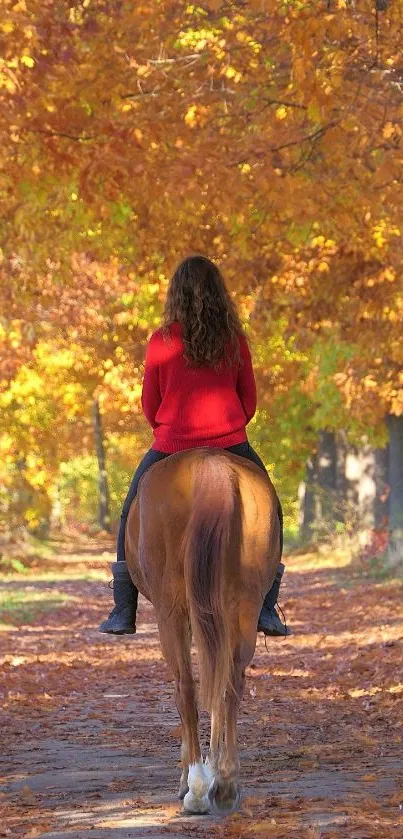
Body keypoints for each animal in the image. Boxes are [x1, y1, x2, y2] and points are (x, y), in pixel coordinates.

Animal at [125, 450, 280, 816]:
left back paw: (195, 786)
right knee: (230, 684)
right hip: (244, 602)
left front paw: (192, 778)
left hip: (171, 610)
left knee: (186, 687)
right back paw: (224, 784)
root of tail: (211, 465)